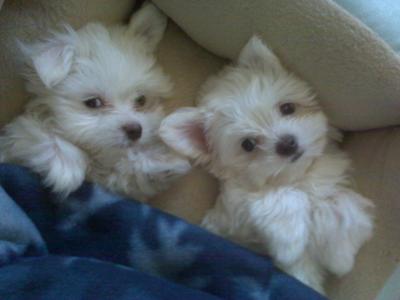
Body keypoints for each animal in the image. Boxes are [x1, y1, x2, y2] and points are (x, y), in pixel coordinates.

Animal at [0, 3, 191, 200]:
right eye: (93, 103)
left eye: (141, 100)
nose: (135, 130)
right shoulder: (11, 143)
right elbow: (32, 132)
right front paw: (67, 165)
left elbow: (127, 175)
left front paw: (161, 163)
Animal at [161, 35, 374, 292]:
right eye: (248, 144)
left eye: (287, 108)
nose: (287, 144)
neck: (297, 177)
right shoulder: (234, 217)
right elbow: (280, 198)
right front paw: (291, 240)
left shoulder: (332, 181)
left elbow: (343, 207)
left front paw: (340, 257)